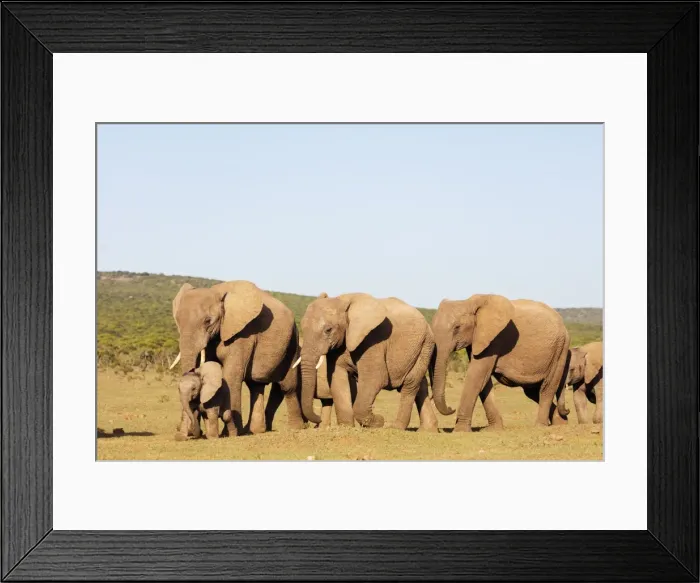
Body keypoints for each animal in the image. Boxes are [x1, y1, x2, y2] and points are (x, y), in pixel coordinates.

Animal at [170, 280, 304, 438]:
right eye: (178, 321)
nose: (186, 434)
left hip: (293, 342)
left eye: (208, 321)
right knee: (256, 386)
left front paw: (228, 433)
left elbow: (231, 375)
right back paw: (254, 430)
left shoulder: (244, 333)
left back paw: (296, 427)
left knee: (287, 386)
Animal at [296, 292, 439, 431]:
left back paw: (396, 427)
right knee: (420, 384)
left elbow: (376, 377)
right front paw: (346, 427)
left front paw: (378, 422)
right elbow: (337, 378)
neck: (342, 300)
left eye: (328, 330)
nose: (317, 422)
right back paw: (427, 430)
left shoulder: (373, 339)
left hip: (425, 345)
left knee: (409, 384)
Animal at [430, 294, 571, 431]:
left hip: (560, 350)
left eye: (457, 328)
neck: (468, 302)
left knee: (547, 388)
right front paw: (494, 429)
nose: (451, 408)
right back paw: (561, 423)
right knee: (532, 392)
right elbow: (484, 382)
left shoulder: (495, 339)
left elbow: (476, 376)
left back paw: (540, 426)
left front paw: (460, 430)